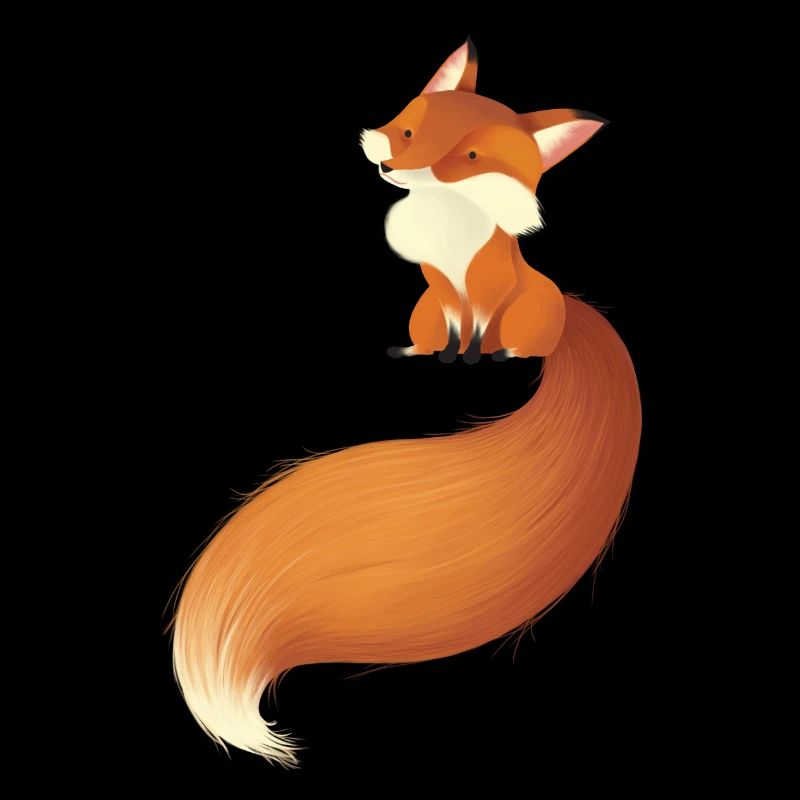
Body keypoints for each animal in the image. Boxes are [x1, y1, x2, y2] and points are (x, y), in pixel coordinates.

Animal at [172, 39, 641, 767]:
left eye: (472, 158)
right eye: (412, 131)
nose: (392, 165)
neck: (449, 224)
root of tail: (569, 313)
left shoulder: (483, 293)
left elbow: (475, 335)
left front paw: (473, 361)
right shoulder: (438, 292)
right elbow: (447, 330)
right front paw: (437, 358)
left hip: (530, 311)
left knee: (514, 340)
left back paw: (501, 356)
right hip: (422, 308)